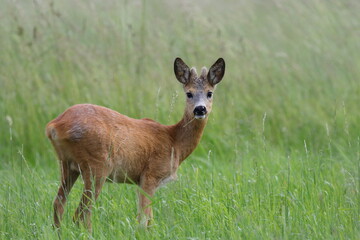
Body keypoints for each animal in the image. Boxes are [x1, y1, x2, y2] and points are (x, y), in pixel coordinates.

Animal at [45, 56, 225, 231]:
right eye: (189, 93)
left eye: (209, 93)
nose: (200, 109)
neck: (175, 142)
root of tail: (54, 126)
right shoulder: (150, 175)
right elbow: (144, 220)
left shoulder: (140, 181)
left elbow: (149, 219)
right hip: (96, 165)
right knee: (82, 213)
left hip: (67, 164)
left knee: (59, 203)